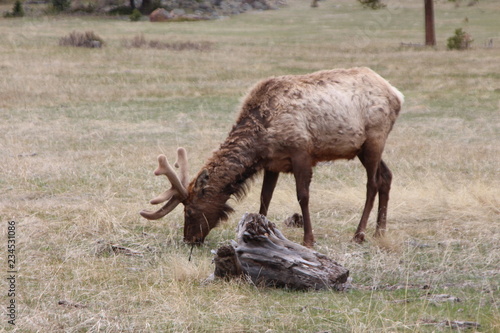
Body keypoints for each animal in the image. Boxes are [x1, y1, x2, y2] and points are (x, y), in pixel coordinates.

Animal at [139, 67, 404, 246]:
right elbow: (264, 198)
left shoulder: (301, 152)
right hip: (363, 148)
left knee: (372, 183)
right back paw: (380, 231)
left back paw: (359, 234)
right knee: (387, 176)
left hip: (375, 138)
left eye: (190, 211)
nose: (189, 239)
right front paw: (254, 234)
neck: (261, 139)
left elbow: (303, 196)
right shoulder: (272, 163)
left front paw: (308, 239)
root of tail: (397, 94)